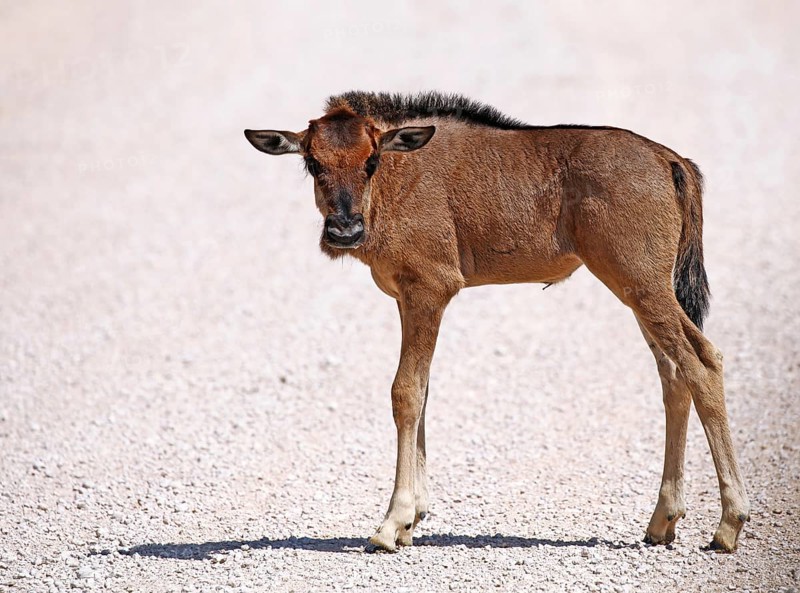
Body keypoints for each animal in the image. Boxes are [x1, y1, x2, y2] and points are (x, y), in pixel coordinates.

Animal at [244, 91, 749, 552]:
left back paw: (728, 525)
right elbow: (424, 391)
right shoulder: (409, 299)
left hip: (642, 285)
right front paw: (413, 520)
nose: (344, 231)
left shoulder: (431, 289)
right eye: (312, 162)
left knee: (703, 364)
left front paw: (392, 524)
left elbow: (405, 392)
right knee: (674, 375)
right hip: (642, 290)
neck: (397, 178)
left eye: (370, 161)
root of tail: (672, 160)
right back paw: (663, 520)